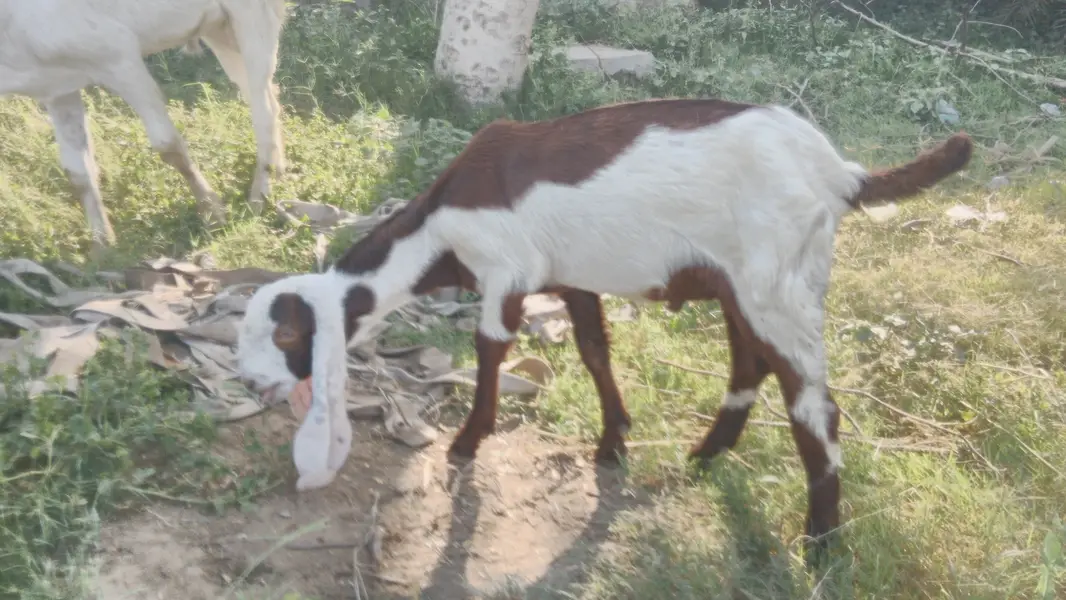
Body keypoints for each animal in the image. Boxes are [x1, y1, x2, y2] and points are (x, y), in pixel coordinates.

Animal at [0, 0, 288, 250]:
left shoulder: (118, 57)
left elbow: (166, 144)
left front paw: (212, 212)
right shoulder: (57, 88)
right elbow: (77, 171)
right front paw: (102, 245)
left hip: (251, 14)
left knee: (263, 107)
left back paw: (258, 197)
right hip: (219, 27)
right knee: (266, 96)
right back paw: (277, 174)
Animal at [235, 98, 973, 551]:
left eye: (289, 336)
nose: (250, 384)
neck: (439, 227)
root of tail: (840, 175)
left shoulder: (505, 270)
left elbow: (490, 350)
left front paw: (467, 442)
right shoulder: (571, 277)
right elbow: (594, 350)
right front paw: (614, 440)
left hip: (779, 282)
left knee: (814, 405)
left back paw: (819, 540)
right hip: (743, 282)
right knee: (750, 364)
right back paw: (708, 454)